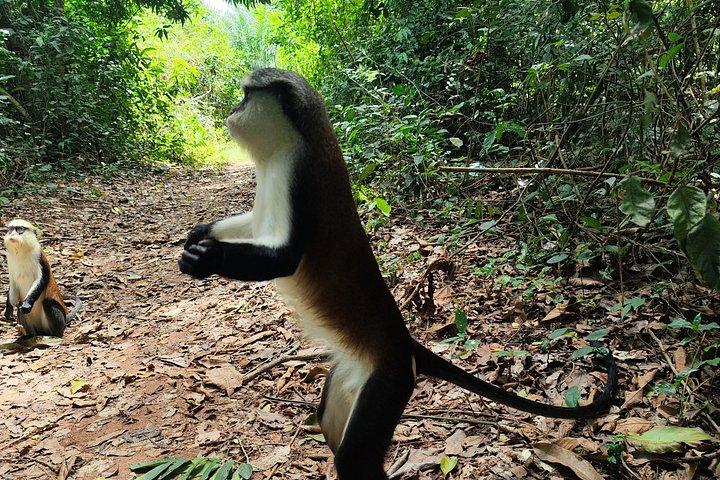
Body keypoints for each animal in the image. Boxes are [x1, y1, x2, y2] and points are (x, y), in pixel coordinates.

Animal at [179, 68, 618, 480]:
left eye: (246, 95)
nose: (231, 110)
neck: (291, 144)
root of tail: (404, 345)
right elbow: (253, 226)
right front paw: (199, 235)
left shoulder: (300, 178)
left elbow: (283, 259)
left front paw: (207, 259)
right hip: (351, 376)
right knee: (331, 424)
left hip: (388, 382)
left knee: (355, 460)